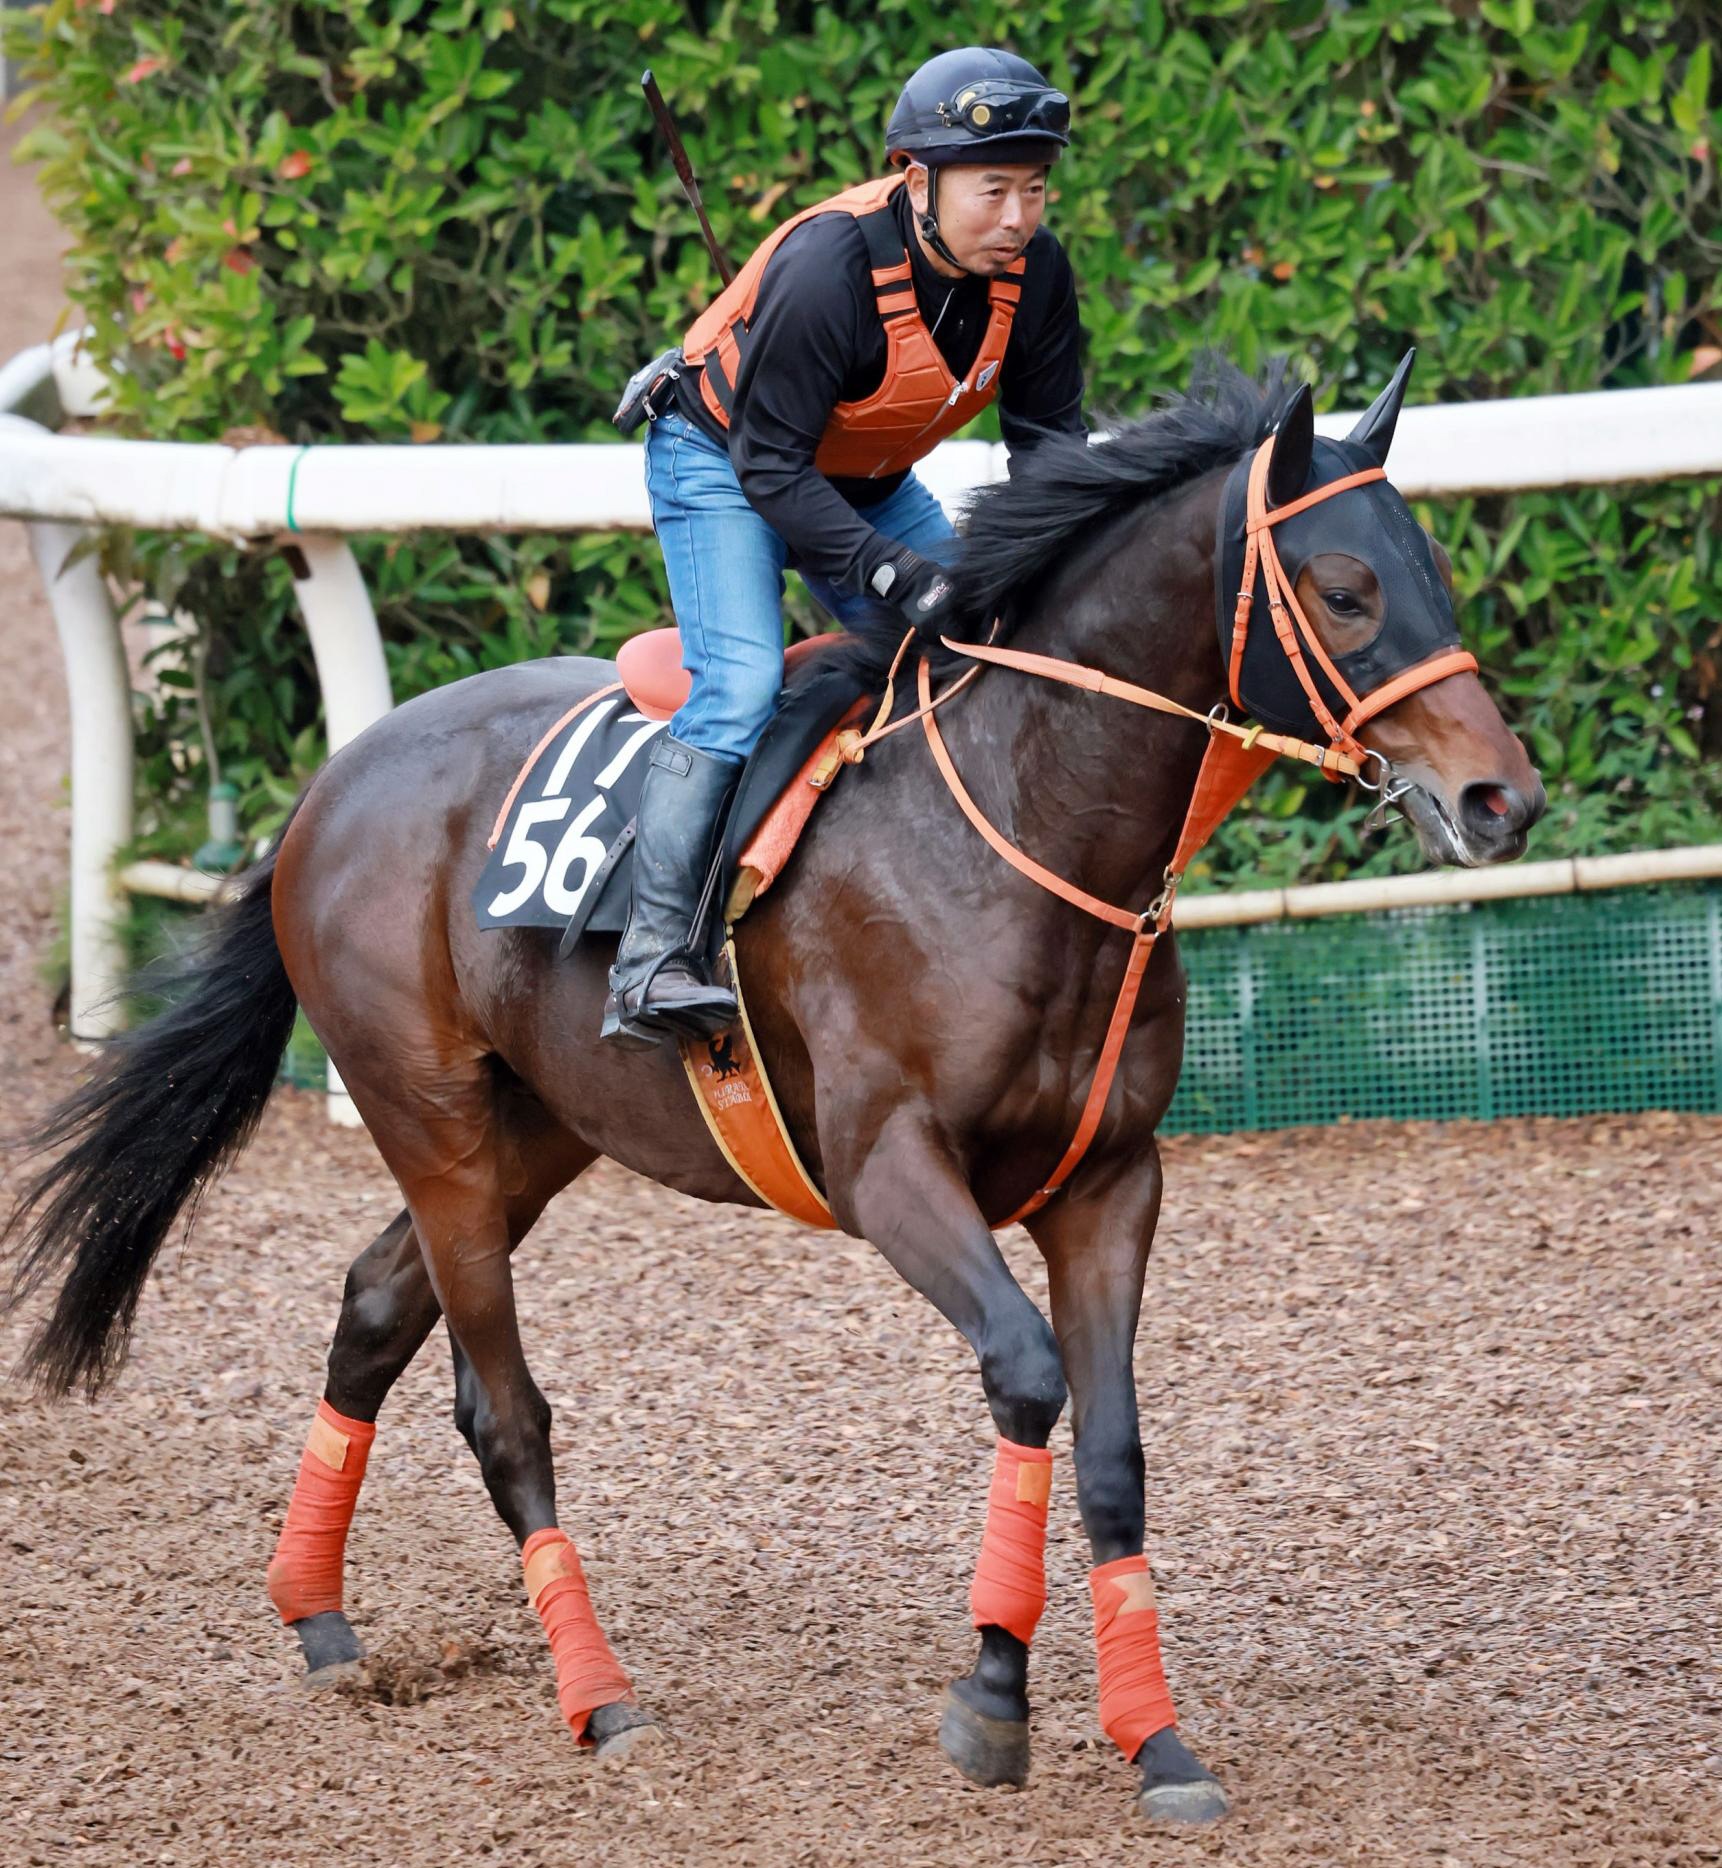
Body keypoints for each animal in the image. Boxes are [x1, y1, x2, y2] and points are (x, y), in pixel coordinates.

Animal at [3, 356, 1546, 1830]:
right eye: (1344, 590)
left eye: (1432, 571)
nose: (1501, 800)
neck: (1022, 819)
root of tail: (335, 781)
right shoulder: (890, 1169)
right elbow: (1024, 1374)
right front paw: (993, 1697)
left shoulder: (1112, 1179)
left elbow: (1112, 1448)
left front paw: (1155, 1741)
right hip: (429, 1120)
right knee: (502, 1408)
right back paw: (598, 1696)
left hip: (538, 1131)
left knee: (377, 1305)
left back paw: (319, 1616)